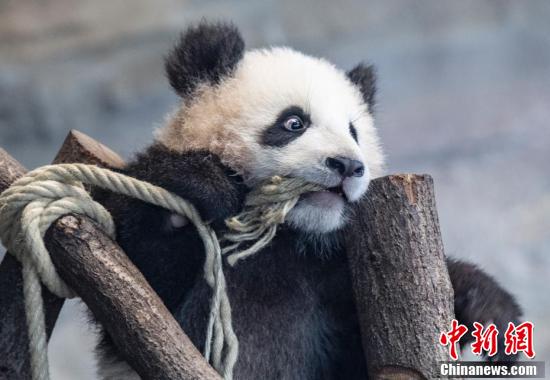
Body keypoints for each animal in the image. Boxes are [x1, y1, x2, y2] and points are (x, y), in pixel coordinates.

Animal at [92, 22, 524, 378]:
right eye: (293, 122)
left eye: (354, 131)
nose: (348, 165)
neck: (288, 236)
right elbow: (140, 284)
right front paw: (201, 185)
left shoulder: (329, 275)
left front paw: (487, 310)